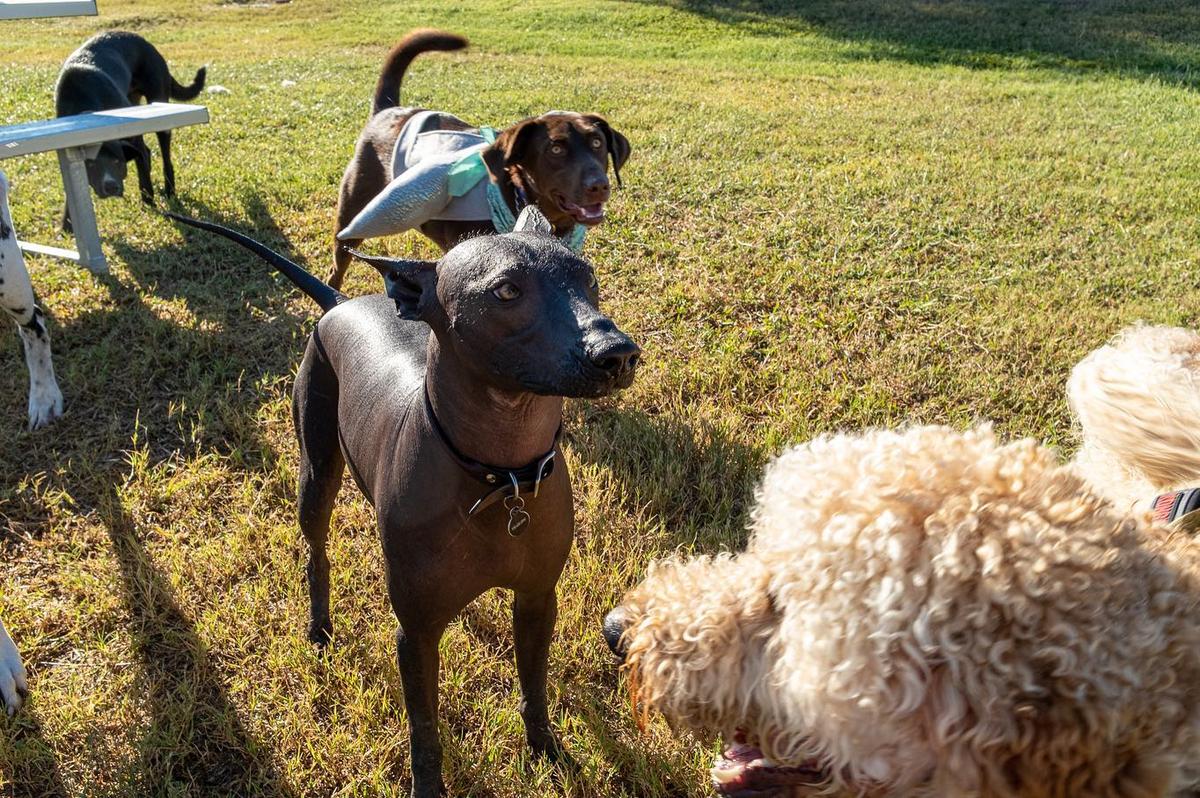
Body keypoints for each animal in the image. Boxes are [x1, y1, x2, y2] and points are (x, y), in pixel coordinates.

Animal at [54, 31, 206, 230]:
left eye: (118, 162)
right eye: (91, 165)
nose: (111, 187)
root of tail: (146, 43)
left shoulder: (134, 135)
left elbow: (143, 168)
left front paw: (149, 202)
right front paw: (67, 224)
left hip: (159, 109)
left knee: (164, 159)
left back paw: (169, 192)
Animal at [169, 208, 643, 792]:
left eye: (589, 279)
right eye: (507, 290)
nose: (618, 353)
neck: (501, 475)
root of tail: (342, 301)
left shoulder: (537, 599)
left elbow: (534, 688)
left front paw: (547, 752)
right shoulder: (414, 634)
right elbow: (425, 729)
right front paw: (429, 787)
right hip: (316, 473)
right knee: (316, 551)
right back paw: (319, 627)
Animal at [326, 30, 628, 289]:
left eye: (597, 143)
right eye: (555, 149)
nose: (598, 185)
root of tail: (388, 110)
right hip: (352, 216)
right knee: (336, 270)